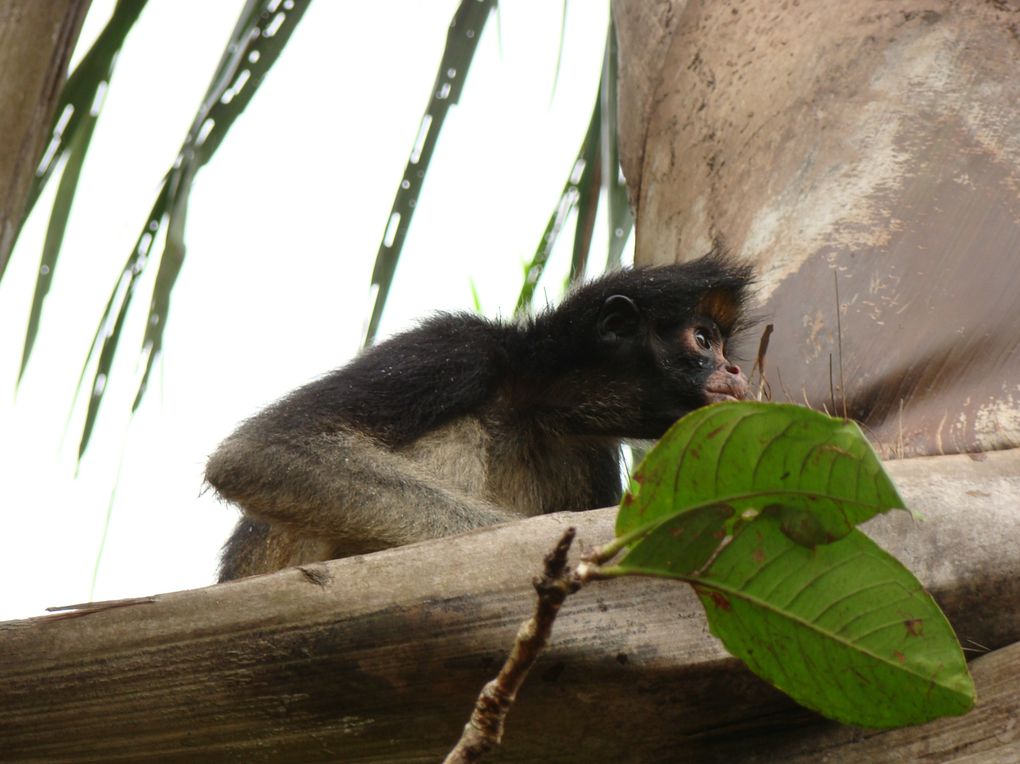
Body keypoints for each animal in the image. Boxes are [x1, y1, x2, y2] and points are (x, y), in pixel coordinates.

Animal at [207, 252, 750, 579]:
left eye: (722, 347)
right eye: (704, 340)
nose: (735, 369)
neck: (531, 405)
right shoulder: (458, 347)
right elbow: (256, 452)